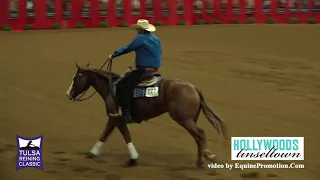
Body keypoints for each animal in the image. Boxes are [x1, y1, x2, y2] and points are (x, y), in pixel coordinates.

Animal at [65, 62, 228, 167]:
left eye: (76, 78)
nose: (68, 94)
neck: (112, 88)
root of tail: (193, 87)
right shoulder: (113, 117)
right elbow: (105, 133)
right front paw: (92, 152)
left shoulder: (117, 117)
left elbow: (125, 135)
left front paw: (133, 159)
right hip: (191, 119)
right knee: (198, 137)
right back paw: (204, 156)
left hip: (184, 119)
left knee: (200, 134)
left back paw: (201, 160)